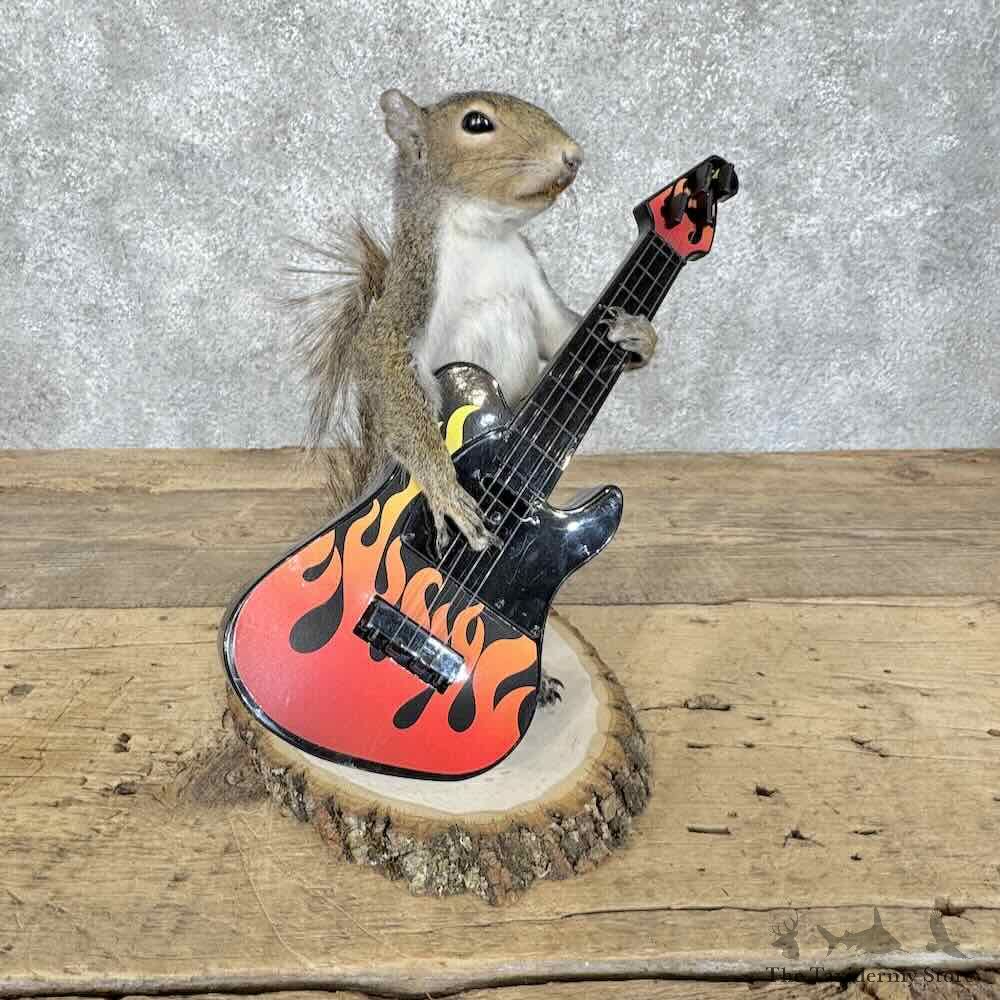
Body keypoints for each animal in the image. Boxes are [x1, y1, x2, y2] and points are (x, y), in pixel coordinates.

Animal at [288, 88, 658, 553]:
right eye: (476, 123)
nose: (573, 156)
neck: (485, 238)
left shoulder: (533, 279)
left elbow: (561, 335)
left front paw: (639, 335)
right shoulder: (410, 298)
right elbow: (386, 364)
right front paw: (445, 488)